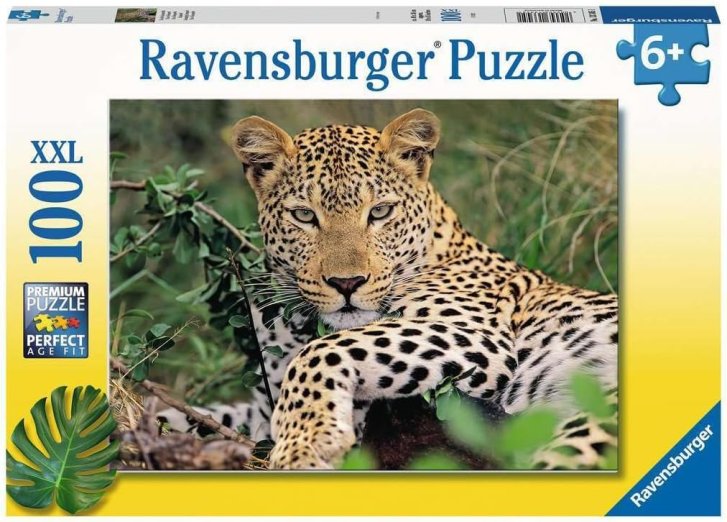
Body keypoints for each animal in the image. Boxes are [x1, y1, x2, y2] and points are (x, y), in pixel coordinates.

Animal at [157, 108, 618, 470]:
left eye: (379, 212)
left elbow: (322, 351)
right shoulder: (261, 404)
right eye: (304, 216)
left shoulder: (479, 338)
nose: (346, 283)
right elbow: (200, 415)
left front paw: (306, 443)